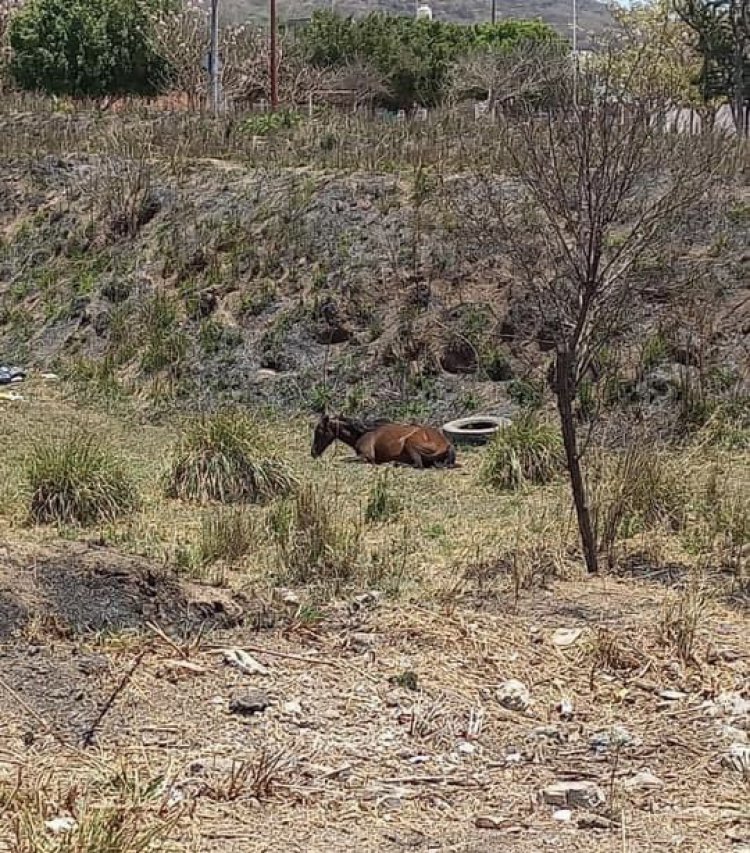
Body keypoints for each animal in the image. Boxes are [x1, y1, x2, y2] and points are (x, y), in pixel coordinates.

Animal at [312, 412, 458, 466]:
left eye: (319, 431)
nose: (313, 453)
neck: (363, 432)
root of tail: (447, 445)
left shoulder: (367, 456)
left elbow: (344, 459)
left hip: (409, 443)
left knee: (418, 464)